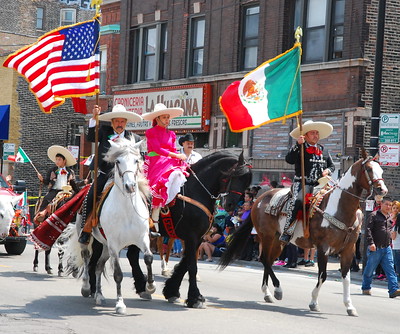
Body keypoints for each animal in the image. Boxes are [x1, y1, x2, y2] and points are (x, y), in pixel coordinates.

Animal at [66, 137, 154, 314]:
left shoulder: (142, 238)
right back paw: (86, 288)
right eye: (118, 161)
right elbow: (118, 274)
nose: (130, 186)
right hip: (89, 238)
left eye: (136, 160)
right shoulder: (114, 244)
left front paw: (150, 286)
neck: (127, 208)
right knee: (87, 258)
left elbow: (148, 258)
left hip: (105, 246)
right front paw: (120, 304)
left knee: (98, 266)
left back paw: (99, 296)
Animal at [220, 150, 386, 318]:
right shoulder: (323, 248)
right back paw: (277, 290)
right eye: (369, 169)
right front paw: (313, 302)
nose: (382, 190)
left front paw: (349, 306)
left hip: (278, 240)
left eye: (381, 170)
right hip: (266, 236)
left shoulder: (348, 249)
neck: (339, 208)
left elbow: (346, 278)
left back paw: (268, 293)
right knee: (264, 259)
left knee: (268, 260)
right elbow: (323, 275)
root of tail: (259, 199)